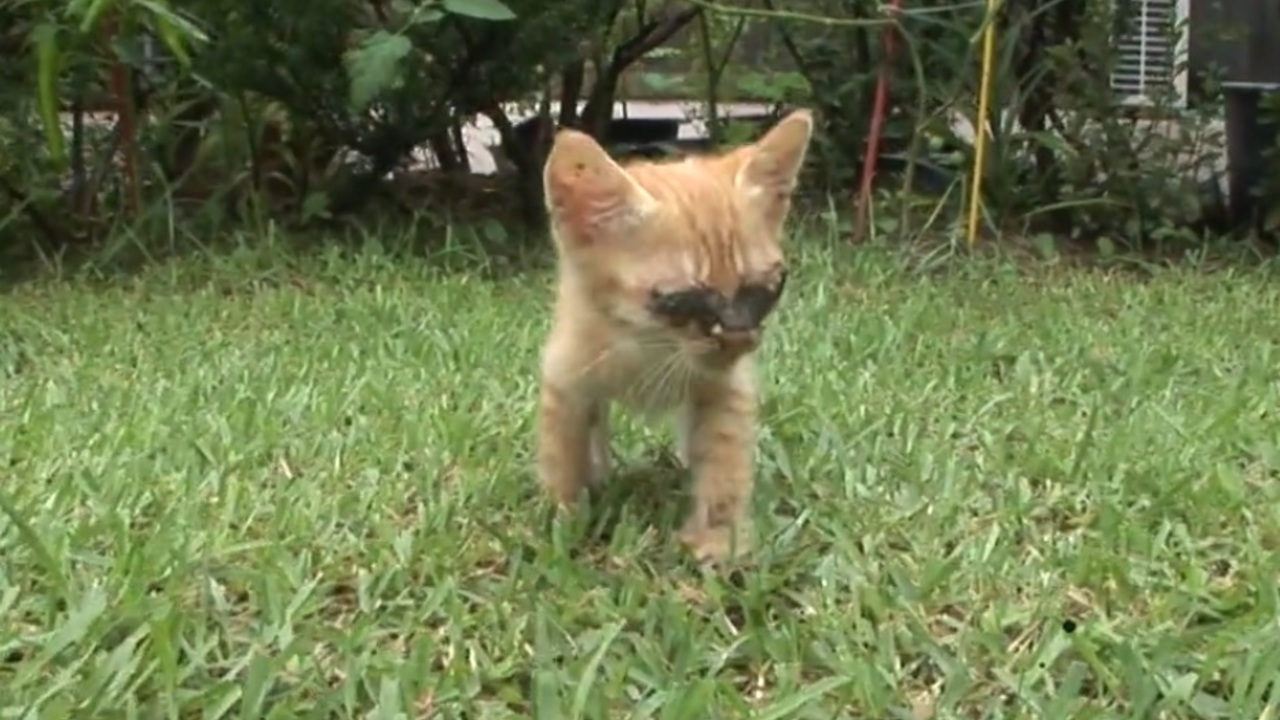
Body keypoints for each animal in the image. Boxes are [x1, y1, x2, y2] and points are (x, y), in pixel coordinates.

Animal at [535, 110, 814, 561]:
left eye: (764, 289)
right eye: (684, 299)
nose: (738, 334)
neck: (651, 349)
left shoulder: (727, 386)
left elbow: (723, 459)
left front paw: (717, 540)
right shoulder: (567, 379)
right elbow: (564, 454)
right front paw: (565, 523)